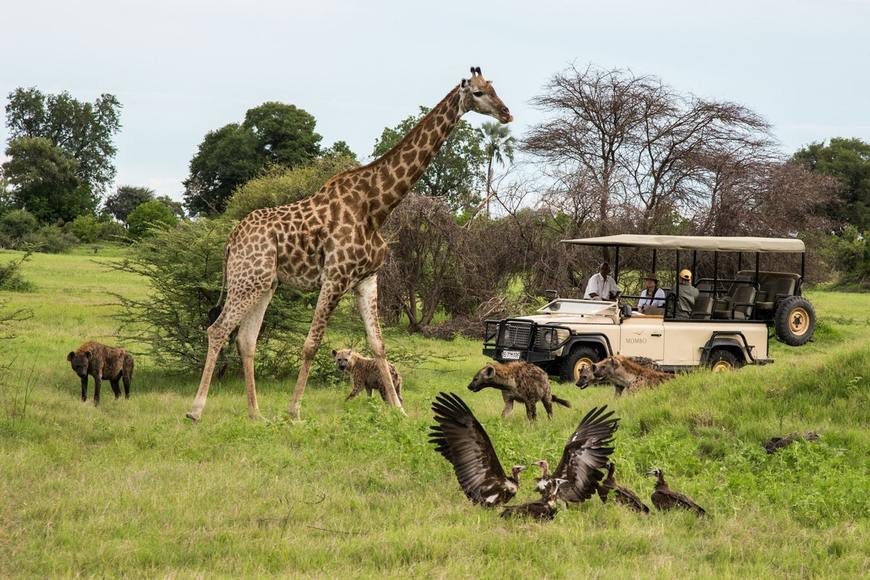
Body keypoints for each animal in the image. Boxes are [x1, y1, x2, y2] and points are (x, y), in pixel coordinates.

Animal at [184, 67, 510, 422]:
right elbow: (311, 344)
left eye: (494, 88)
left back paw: (256, 415)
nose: (506, 113)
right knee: (217, 330)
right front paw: (294, 410)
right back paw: (196, 411)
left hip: (264, 283)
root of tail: (232, 239)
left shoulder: (366, 279)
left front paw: (398, 409)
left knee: (245, 340)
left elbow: (378, 344)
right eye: (478, 93)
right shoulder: (335, 276)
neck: (376, 206)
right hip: (247, 279)